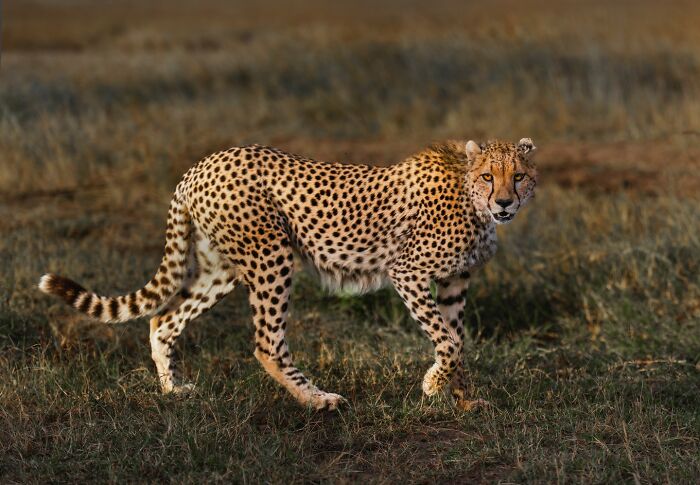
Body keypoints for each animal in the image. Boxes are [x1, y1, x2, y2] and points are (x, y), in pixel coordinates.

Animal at [39, 138, 538, 411]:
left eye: (519, 176)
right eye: (489, 176)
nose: (505, 202)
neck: (471, 198)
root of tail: (200, 166)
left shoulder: (455, 281)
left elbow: (456, 341)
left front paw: (463, 399)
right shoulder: (408, 271)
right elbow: (449, 341)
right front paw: (434, 385)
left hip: (223, 268)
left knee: (163, 320)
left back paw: (173, 390)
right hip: (271, 256)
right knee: (266, 343)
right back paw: (318, 400)